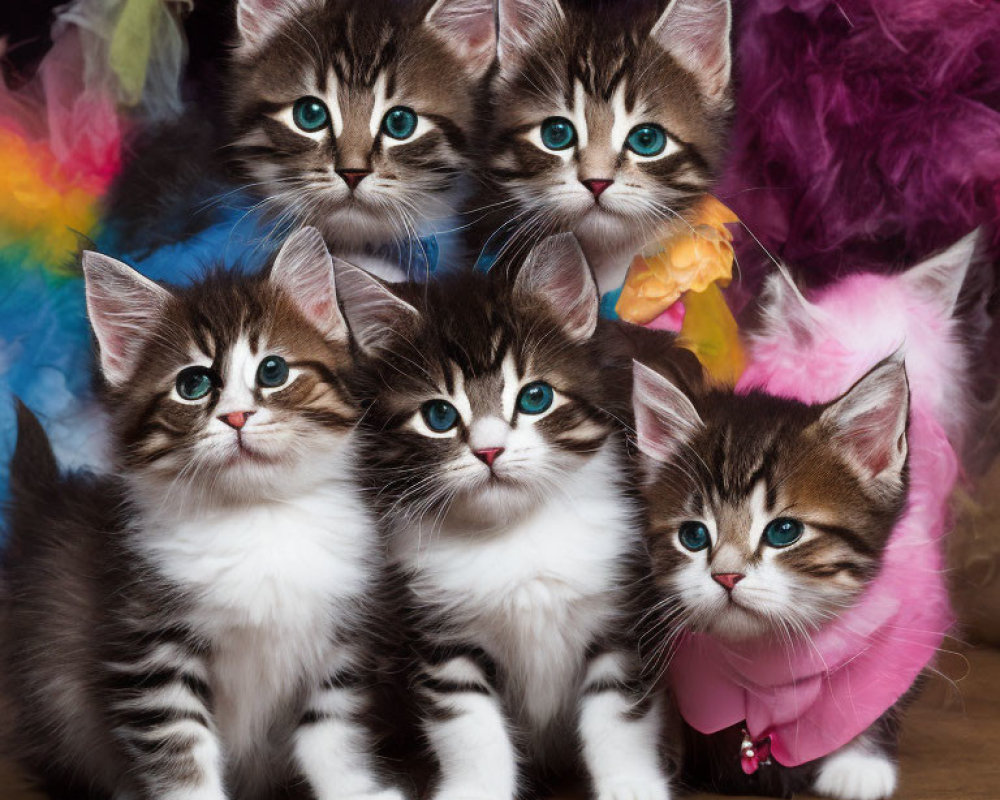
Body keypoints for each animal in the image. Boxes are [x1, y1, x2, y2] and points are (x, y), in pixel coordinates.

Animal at [4, 227, 402, 800]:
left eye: (273, 371)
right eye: (193, 384)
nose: (236, 417)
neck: (260, 518)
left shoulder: (342, 640)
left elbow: (333, 737)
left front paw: (357, 789)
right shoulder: (148, 646)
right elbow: (181, 757)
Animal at [334, 236, 672, 800]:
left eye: (535, 397)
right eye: (439, 416)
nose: (489, 451)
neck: (515, 536)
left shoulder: (620, 615)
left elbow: (620, 718)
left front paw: (631, 785)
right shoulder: (443, 636)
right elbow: (468, 728)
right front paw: (475, 787)